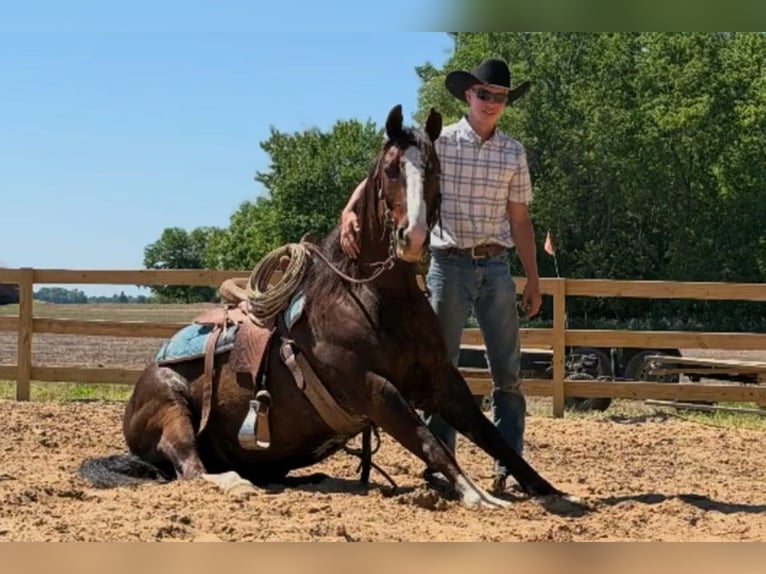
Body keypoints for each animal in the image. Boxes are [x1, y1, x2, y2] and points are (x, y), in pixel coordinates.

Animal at [78, 104, 563, 509]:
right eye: (391, 169)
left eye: (434, 169)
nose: (413, 236)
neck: (376, 302)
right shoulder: (372, 388)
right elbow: (430, 440)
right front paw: (478, 495)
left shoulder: (444, 381)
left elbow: (492, 437)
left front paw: (549, 490)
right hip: (171, 406)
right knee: (190, 467)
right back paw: (237, 484)